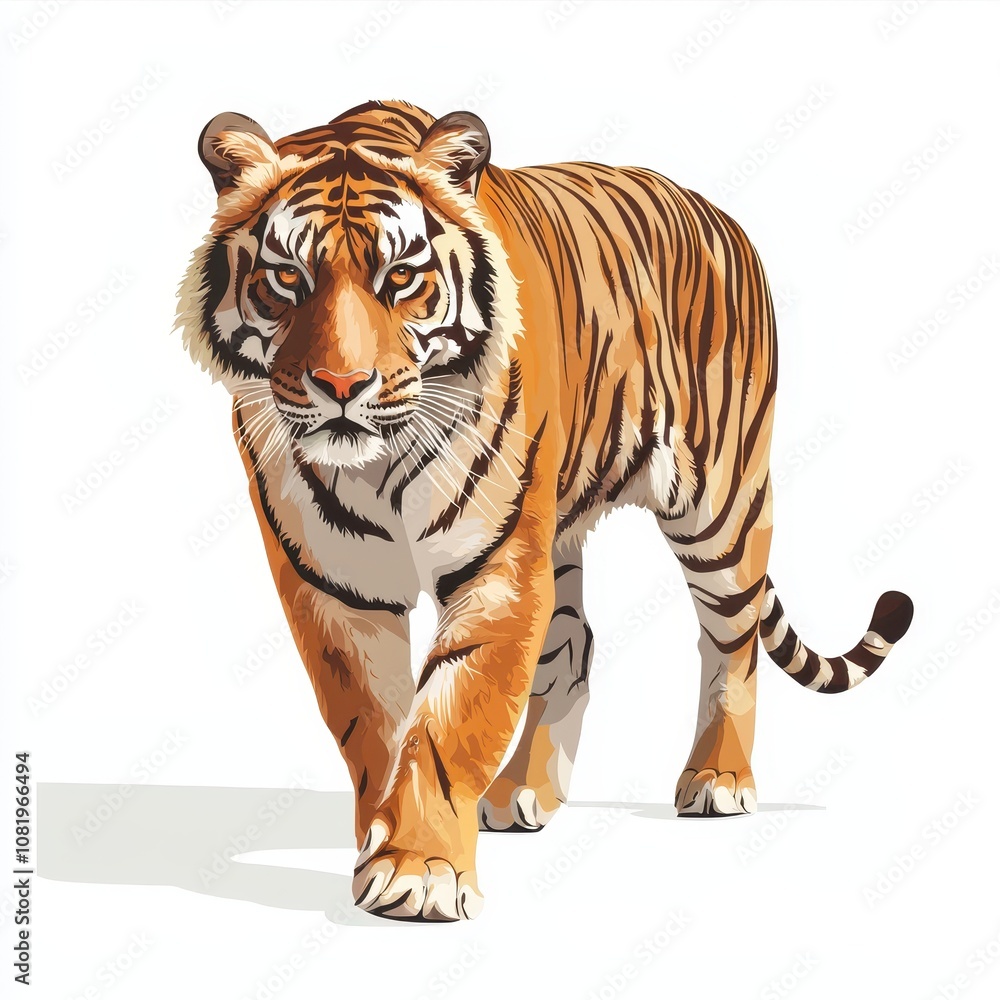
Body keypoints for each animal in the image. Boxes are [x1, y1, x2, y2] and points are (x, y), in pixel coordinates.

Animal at [176, 100, 913, 922]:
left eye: (401, 278)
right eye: (286, 277)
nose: (342, 386)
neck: (374, 466)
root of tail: (717, 214)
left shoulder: (495, 566)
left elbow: (450, 717)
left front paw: (419, 870)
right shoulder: (334, 579)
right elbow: (374, 722)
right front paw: (385, 840)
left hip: (716, 505)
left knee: (734, 639)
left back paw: (719, 781)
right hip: (558, 535)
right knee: (574, 643)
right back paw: (523, 793)